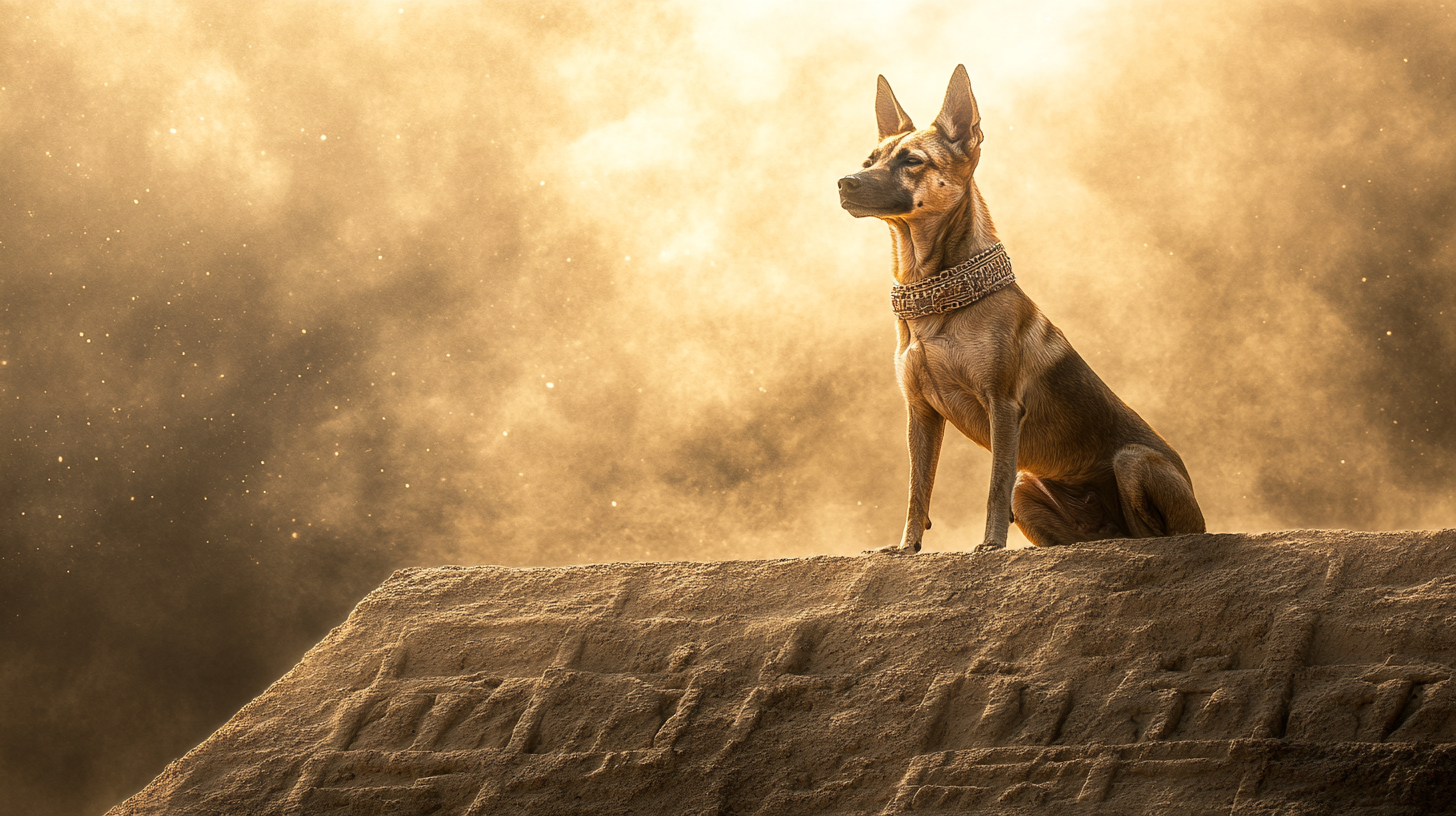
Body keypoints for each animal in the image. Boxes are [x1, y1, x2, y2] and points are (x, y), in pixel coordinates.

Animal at [838, 65, 1199, 553]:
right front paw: (905, 548)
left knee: (1152, 531)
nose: (844, 183)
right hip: (1030, 488)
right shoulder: (920, 413)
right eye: (869, 160)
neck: (938, 297)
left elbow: (994, 485)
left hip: (1132, 461)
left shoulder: (1003, 406)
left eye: (913, 161)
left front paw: (990, 545)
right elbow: (917, 489)